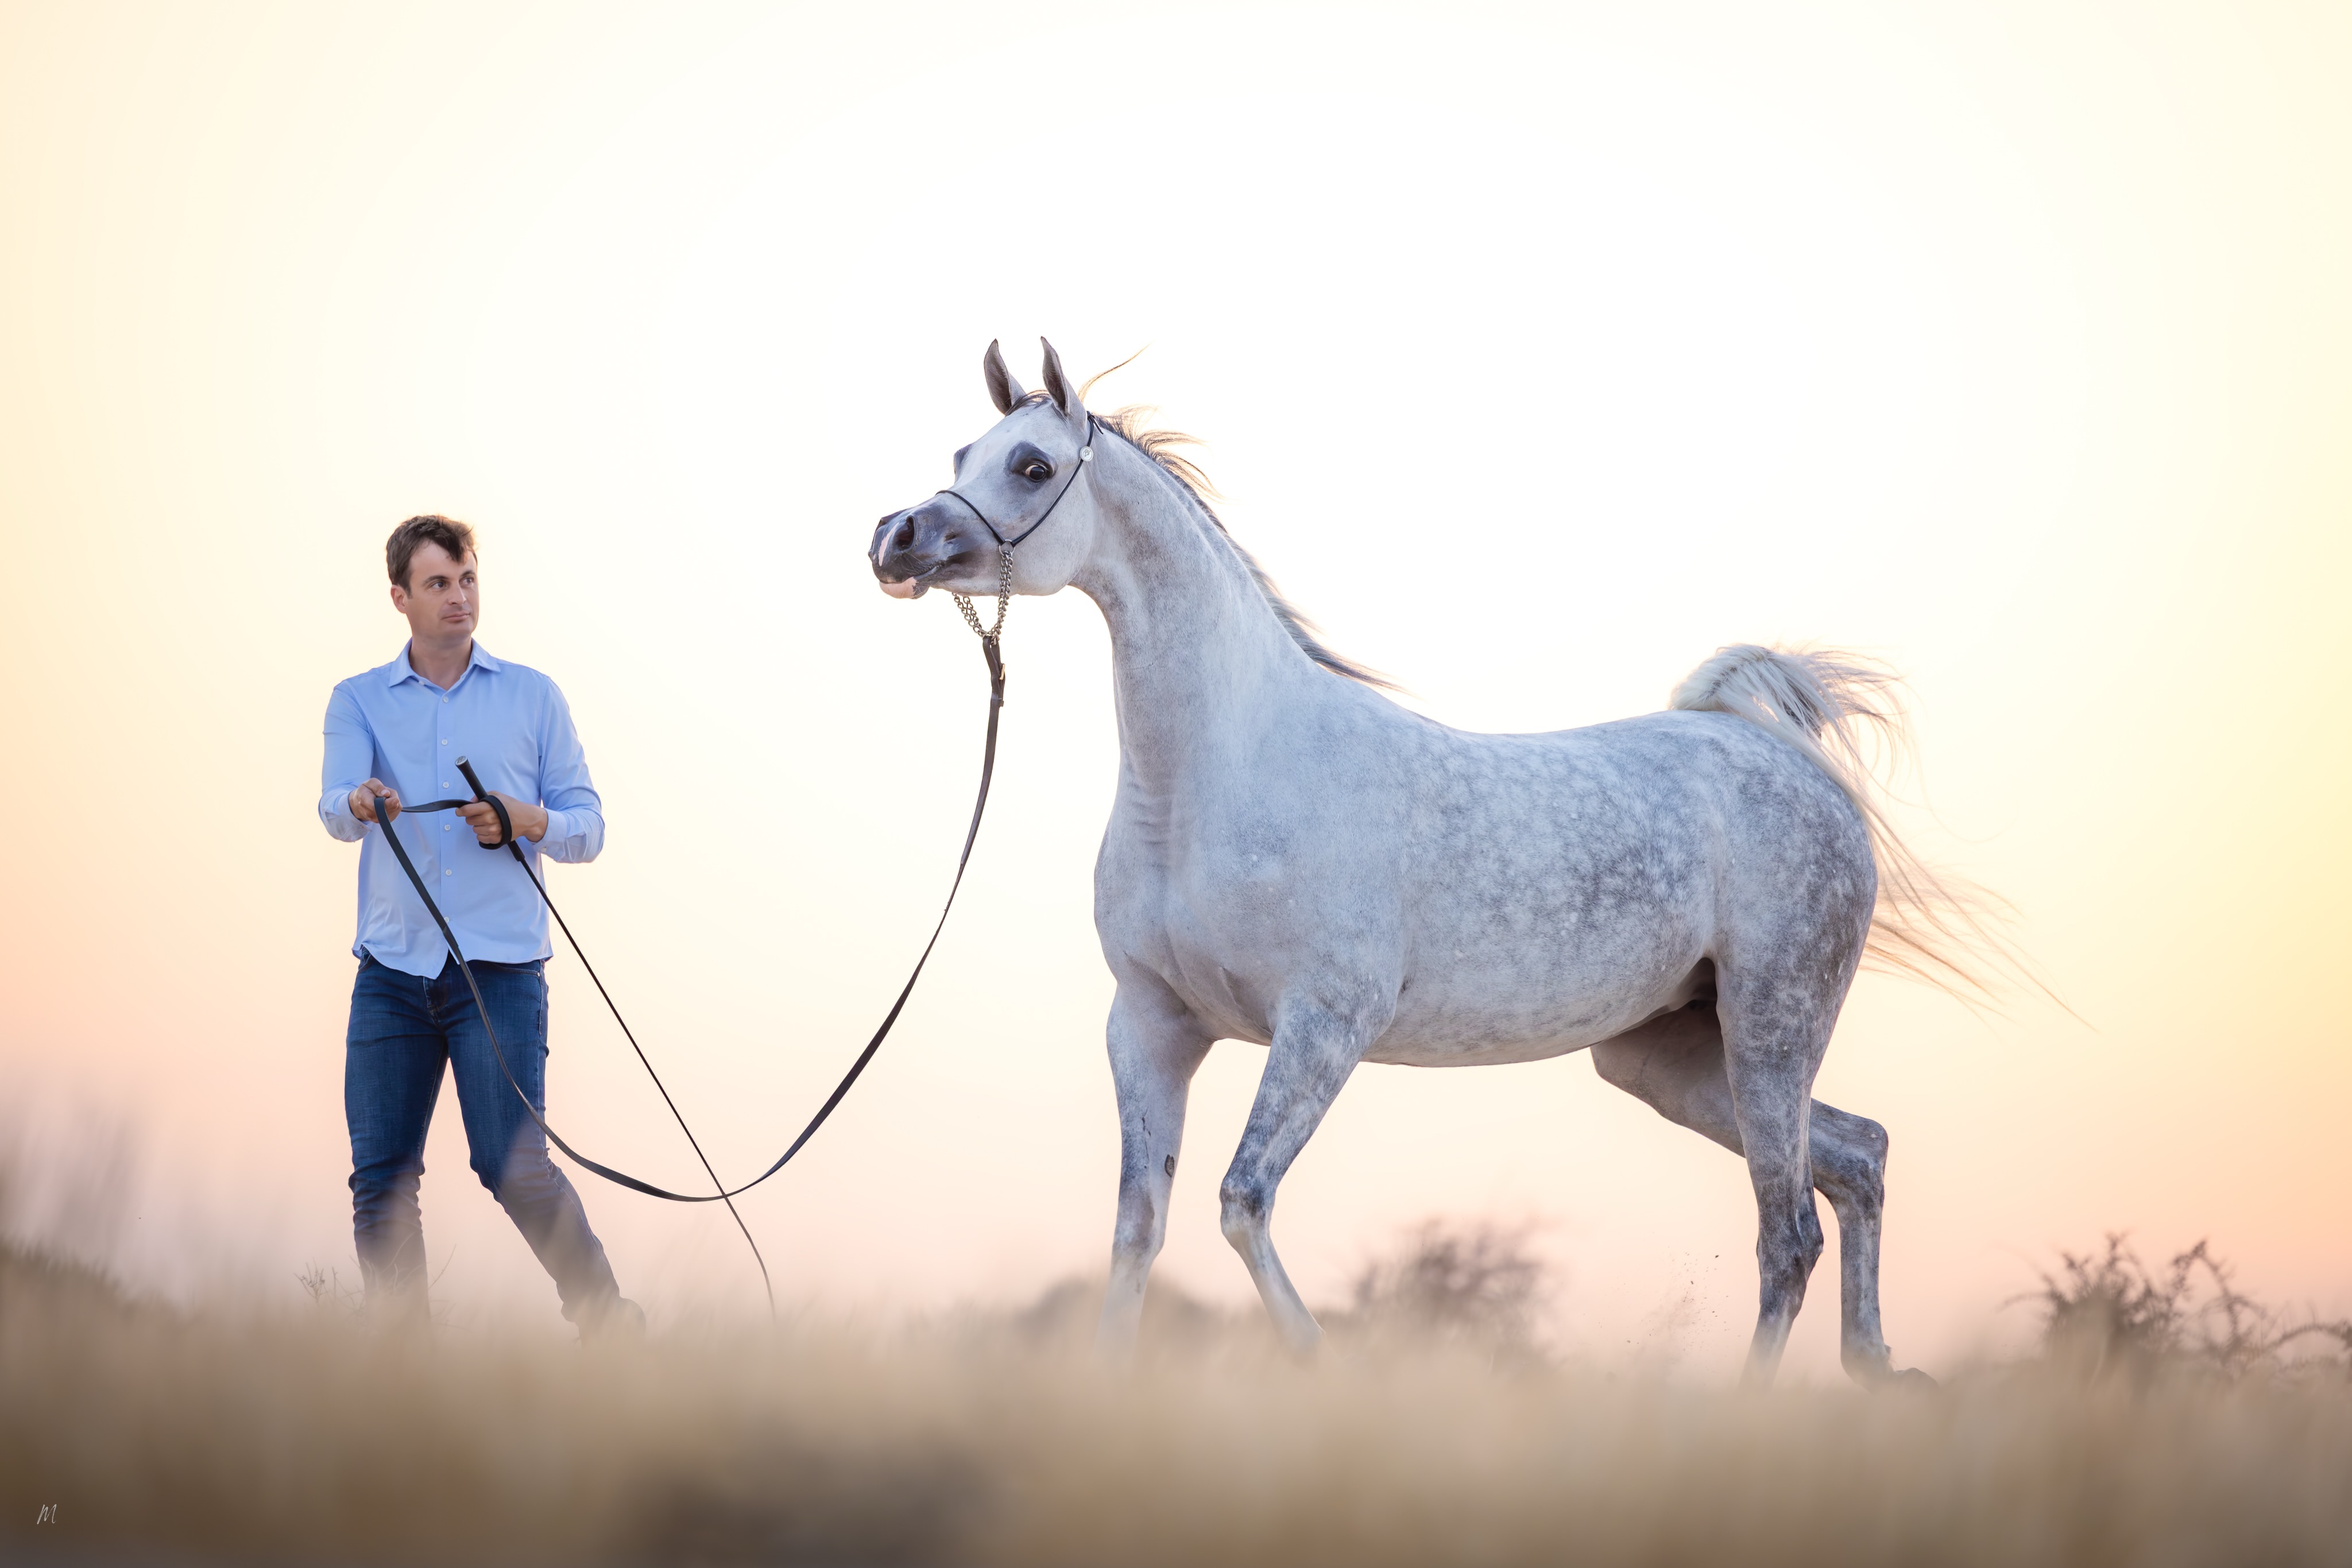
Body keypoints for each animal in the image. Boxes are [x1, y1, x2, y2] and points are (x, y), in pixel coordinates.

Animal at [871, 339, 1983, 1386]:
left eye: (1030, 464)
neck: (1217, 778)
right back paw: (1878, 1367)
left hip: (1769, 1029)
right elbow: (1138, 1228)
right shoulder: (1151, 1026)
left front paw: (1322, 1363)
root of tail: (1781, 757)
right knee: (1858, 1156)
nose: (898, 538)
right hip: (1669, 1060)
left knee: (1788, 1233)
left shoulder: (1324, 1024)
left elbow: (1240, 1201)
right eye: (961, 455)